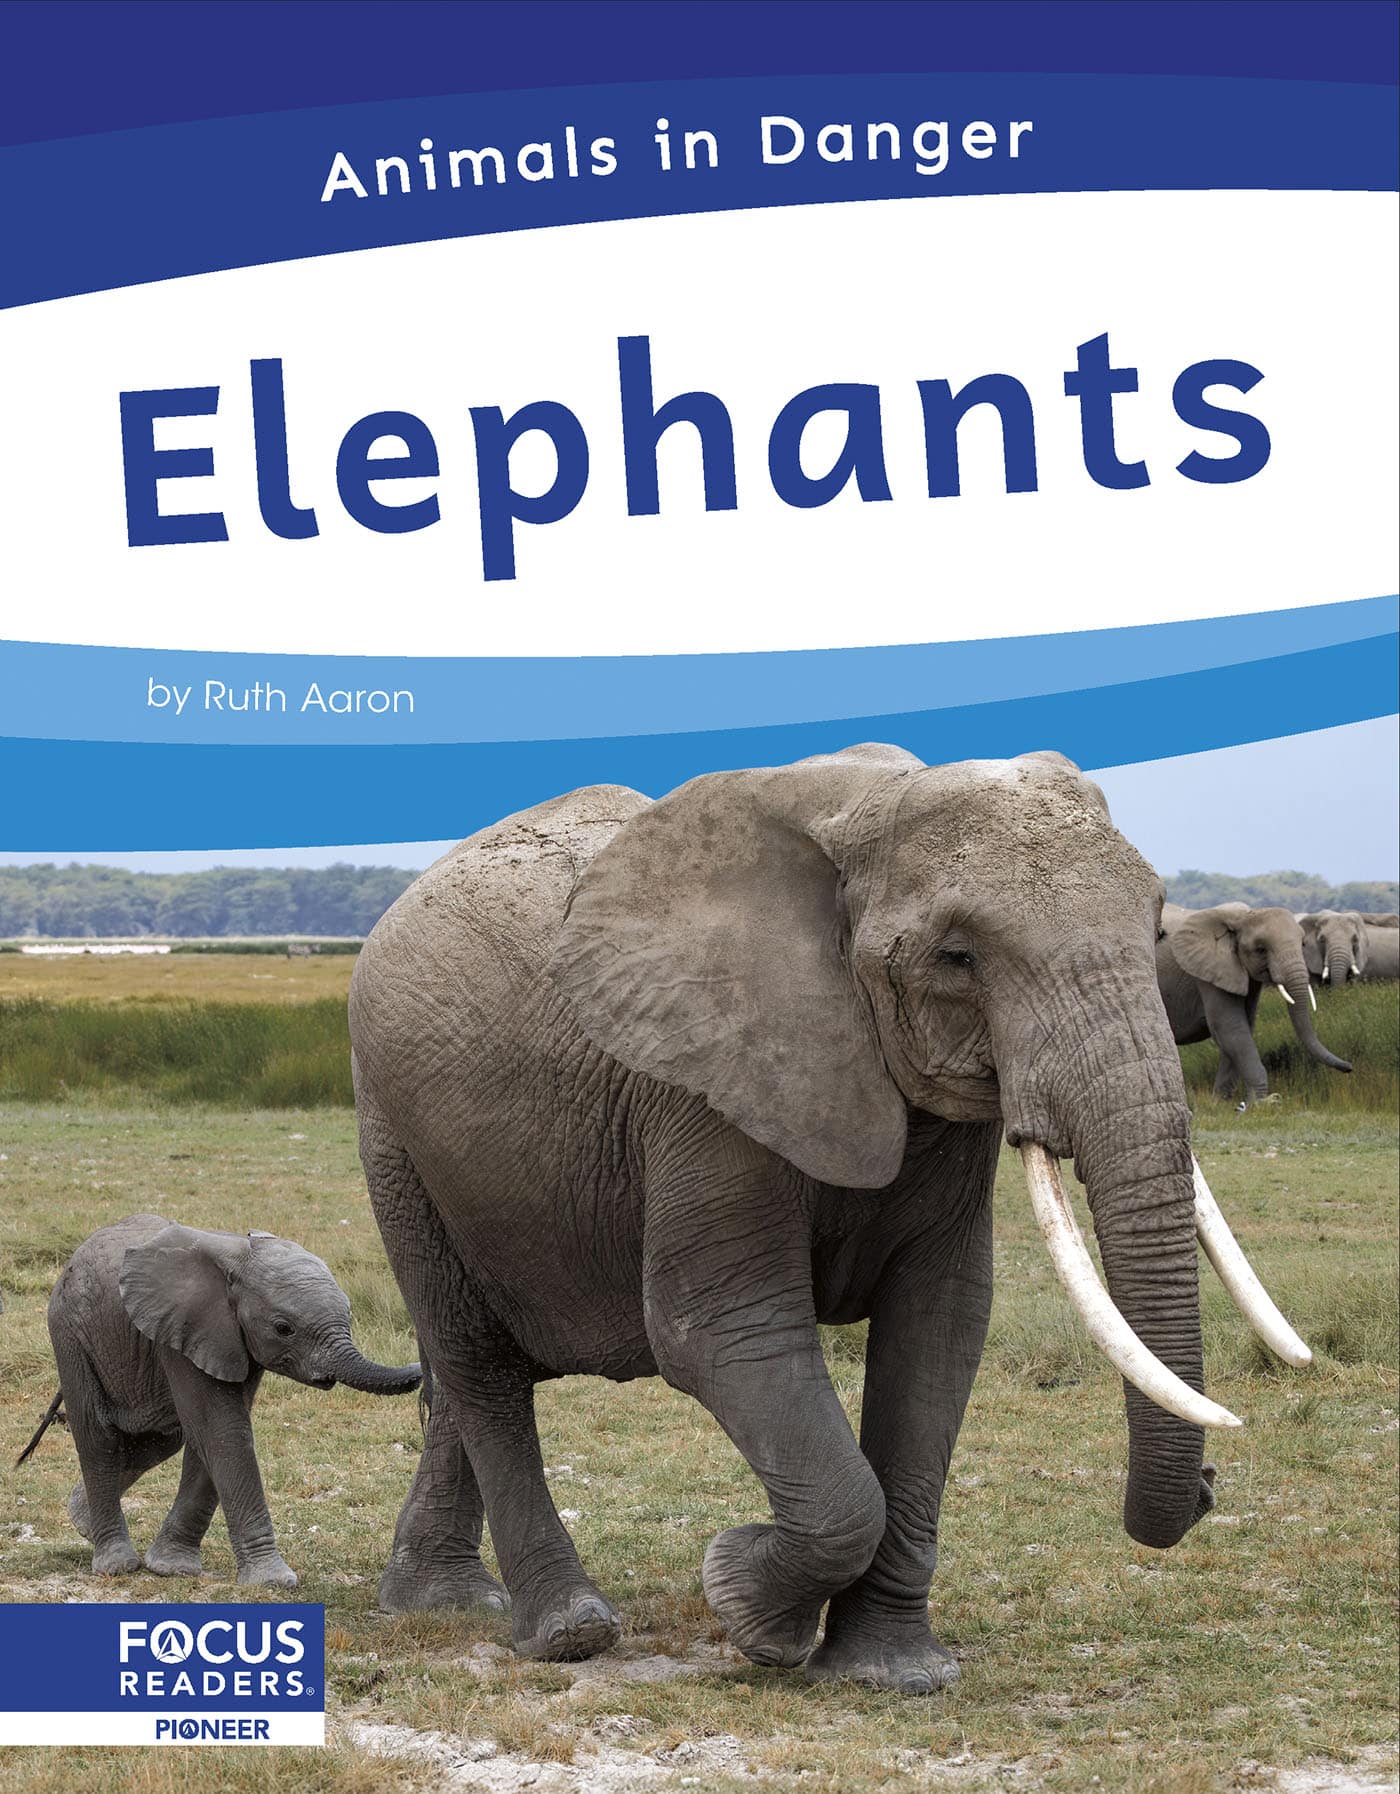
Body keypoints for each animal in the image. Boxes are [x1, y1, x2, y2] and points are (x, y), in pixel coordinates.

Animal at [16, 1214, 421, 1584]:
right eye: (283, 1328)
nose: (422, 1367)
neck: (240, 1254)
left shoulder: (229, 1339)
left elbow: (212, 1435)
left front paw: (173, 1568)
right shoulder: (188, 1328)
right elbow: (222, 1431)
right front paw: (272, 1581)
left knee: (159, 1438)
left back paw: (81, 1520)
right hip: (69, 1329)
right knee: (98, 1437)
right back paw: (116, 1564)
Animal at [349, 744, 1310, 1694]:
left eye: (1155, 927)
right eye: (956, 957)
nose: (1209, 1483)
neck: (868, 811)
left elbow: (941, 1326)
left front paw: (892, 1674)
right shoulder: (708, 1082)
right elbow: (721, 1332)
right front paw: (746, 1603)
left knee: (473, 1368)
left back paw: (442, 1601)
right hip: (394, 1134)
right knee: (478, 1362)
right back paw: (567, 1633)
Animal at [1157, 903, 1351, 1106]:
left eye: (1303, 944)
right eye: (1261, 949)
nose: (1349, 1067)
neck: (1241, 917)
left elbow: (1244, 1027)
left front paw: (1220, 1104)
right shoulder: (1209, 973)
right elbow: (1230, 1027)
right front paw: (1260, 1103)